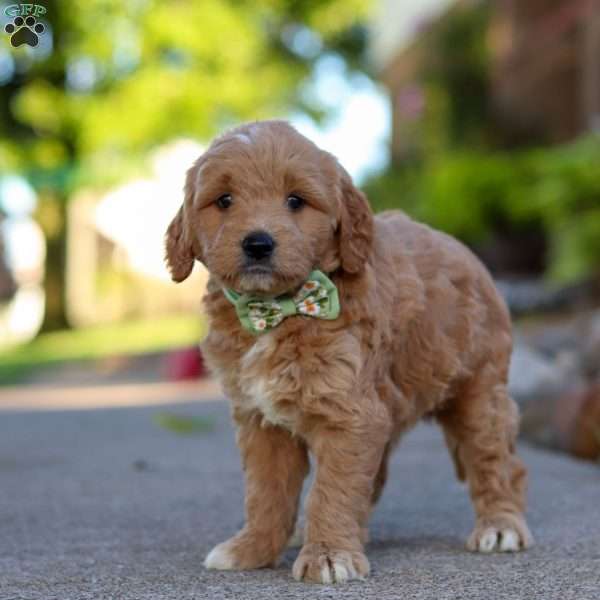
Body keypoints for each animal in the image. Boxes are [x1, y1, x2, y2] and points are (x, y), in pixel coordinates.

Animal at [165, 119, 536, 584]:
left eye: (295, 201)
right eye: (225, 200)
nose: (258, 243)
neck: (281, 311)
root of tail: (463, 250)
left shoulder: (352, 416)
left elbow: (333, 489)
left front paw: (328, 555)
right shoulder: (262, 421)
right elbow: (267, 493)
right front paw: (253, 549)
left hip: (480, 392)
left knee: (495, 459)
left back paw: (500, 526)